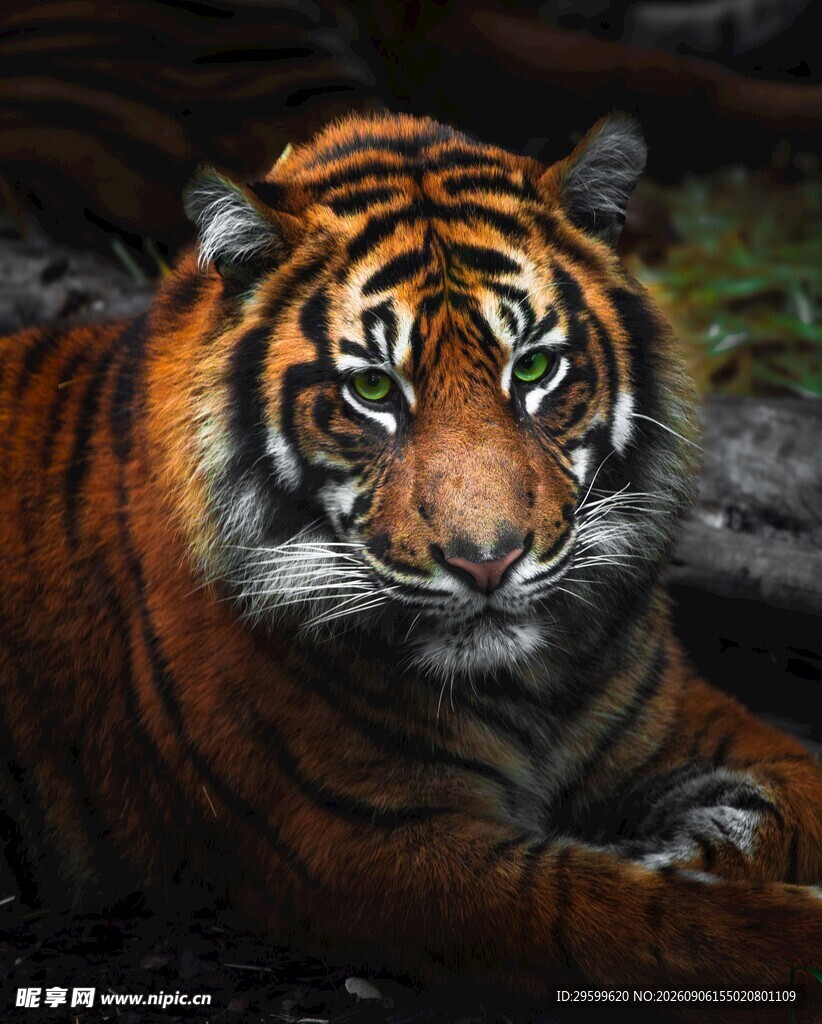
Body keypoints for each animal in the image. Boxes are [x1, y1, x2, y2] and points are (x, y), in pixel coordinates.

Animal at [1, 111, 820, 1024]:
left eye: (534, 368)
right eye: (372, 390)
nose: (488, 561)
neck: (529, 688)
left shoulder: (692, 719)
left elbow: (789, 807)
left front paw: (673, 848)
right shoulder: (375, 844)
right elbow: (636, 920)